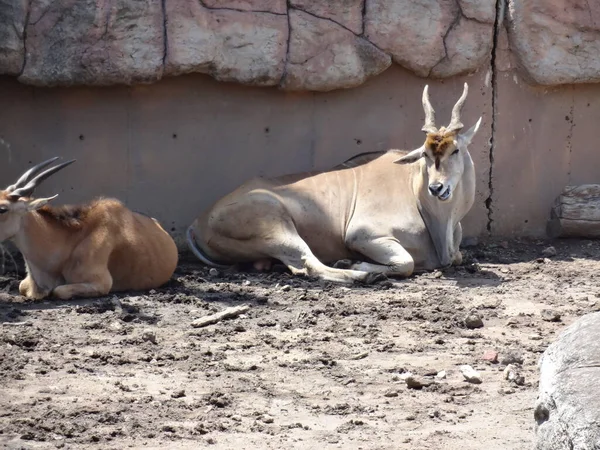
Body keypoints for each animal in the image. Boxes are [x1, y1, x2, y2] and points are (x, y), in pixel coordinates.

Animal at [188, 82, 482, 284]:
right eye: (425, 154)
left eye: (455, 150)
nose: (437, 188)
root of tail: (197, 223)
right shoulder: (364, 235)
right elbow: (406, 263)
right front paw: (356, 264)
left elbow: (455, 257)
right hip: (277, 227)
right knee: (309, 264)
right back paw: (361, 275)